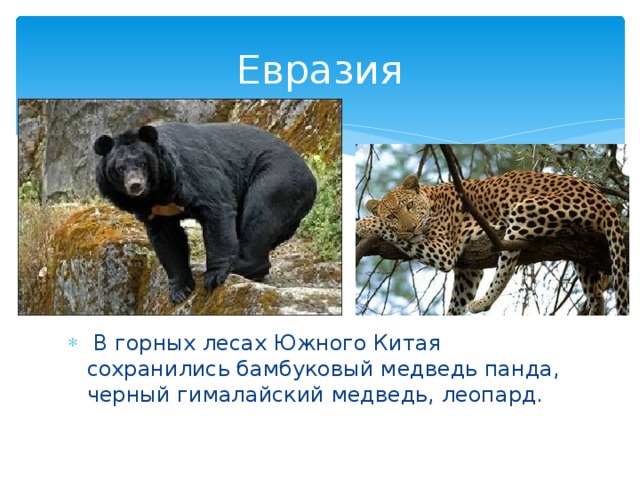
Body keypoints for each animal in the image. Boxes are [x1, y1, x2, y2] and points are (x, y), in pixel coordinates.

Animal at [93, 122, 317, 304]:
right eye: (120, 168)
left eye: (142, 163)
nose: (135, 185)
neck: (156, 194)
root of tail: (311, 176)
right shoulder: (157, 213)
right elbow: (167, 240)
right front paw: (179, 291)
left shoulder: (190, 175)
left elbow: (216, 210)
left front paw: (214, 276)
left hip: (278, 180)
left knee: (259, 216)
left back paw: (240, 265)